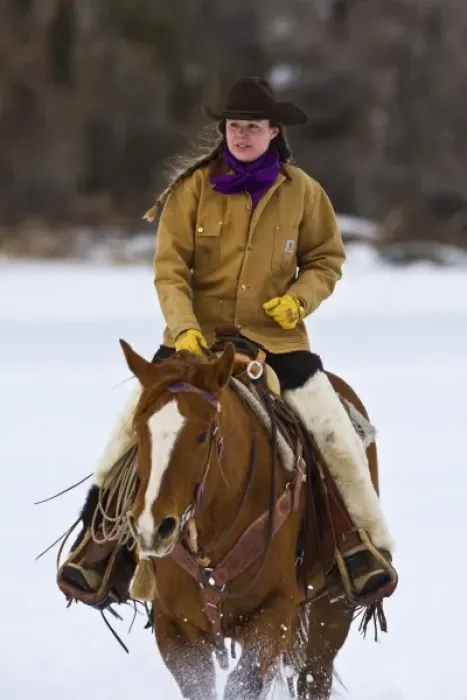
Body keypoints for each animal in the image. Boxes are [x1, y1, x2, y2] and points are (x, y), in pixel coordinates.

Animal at [119, 338, 381, 700]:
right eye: (139, 430)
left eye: (202, 435)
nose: (153, 528)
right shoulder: (174, 629)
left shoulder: (272, 615)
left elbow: (243, 685)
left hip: (332, 607)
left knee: (315, 675)